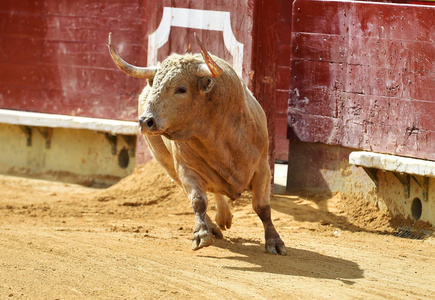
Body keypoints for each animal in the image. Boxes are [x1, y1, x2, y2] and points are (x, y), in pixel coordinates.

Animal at [108, 33, 286, 255]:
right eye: (155, 84)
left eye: (181, 89)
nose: (145, 121)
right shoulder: (186, 168)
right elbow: (198, 200)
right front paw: (201, 234)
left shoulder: (263, 167)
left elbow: (262, 207)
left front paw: (274, 241)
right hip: (167, 165)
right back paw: (215, 224)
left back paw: (223, 218)